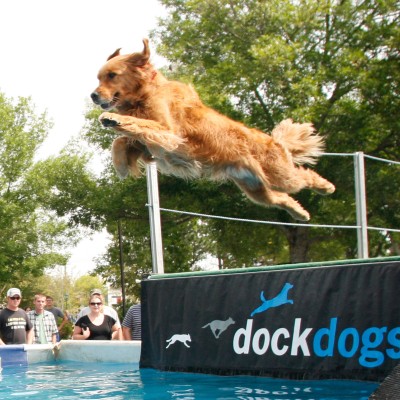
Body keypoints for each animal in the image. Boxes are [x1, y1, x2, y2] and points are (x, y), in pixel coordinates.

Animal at [90, 39, 334, 220]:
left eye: (112, 75)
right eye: (98, 77)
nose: (93, 95)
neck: (144, 94)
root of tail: (277, 142)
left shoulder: (168, 132)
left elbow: (136, 125)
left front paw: (112, 118)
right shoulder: (150, 145)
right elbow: (121, 141)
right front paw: (121, 164)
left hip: (279, 175)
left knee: (304, 175)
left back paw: (326, 187)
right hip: (255, 188)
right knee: (281, 199)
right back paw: (301, 213)